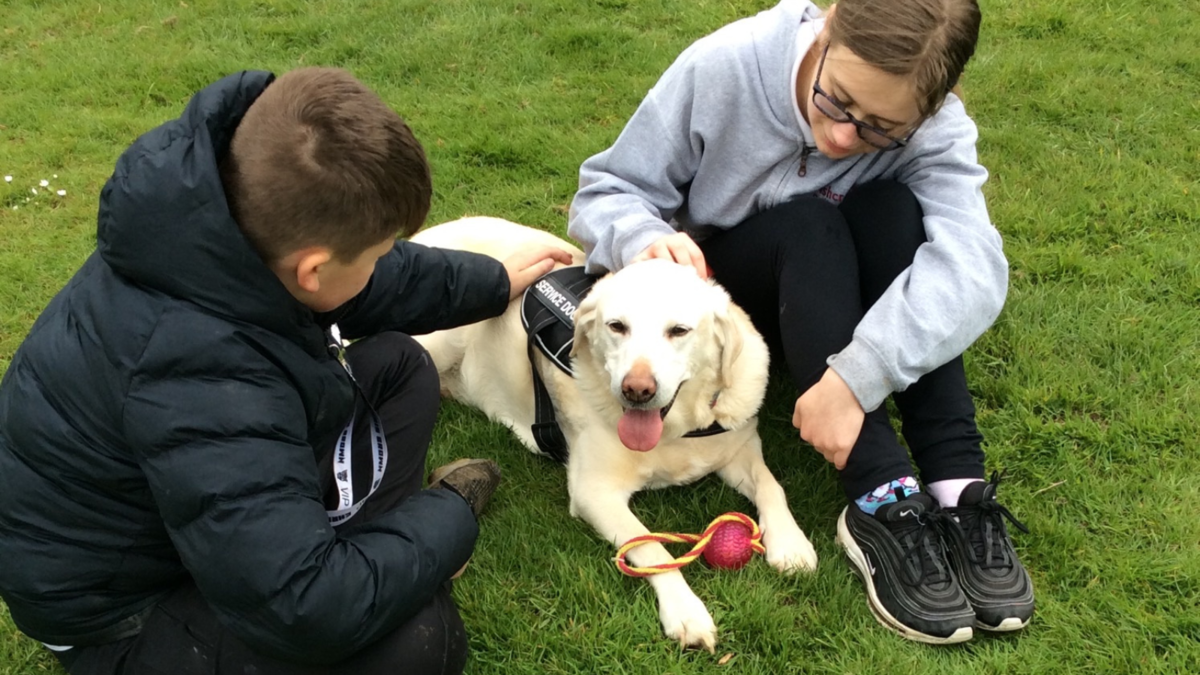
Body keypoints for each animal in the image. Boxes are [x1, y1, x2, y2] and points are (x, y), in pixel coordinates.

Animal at [410, 218, 816, 648]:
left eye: (679, 331)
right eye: (617, 327)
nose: (636, 390)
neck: (676, 431)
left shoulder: (742, 449)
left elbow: (772, 485)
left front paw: (790, 542)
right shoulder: (594, 491)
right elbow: (651, 546)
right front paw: (685, 610)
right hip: (437, 340)